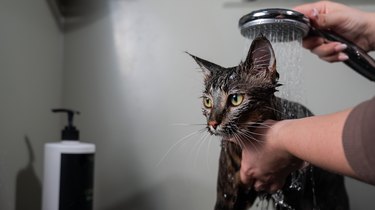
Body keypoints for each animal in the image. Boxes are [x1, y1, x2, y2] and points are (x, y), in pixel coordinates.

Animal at [189, 35, 352, 209]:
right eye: (207, 102)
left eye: (235, 99)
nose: (212, 123)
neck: (242, 149)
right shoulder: (226, 196)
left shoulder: (288, 196)